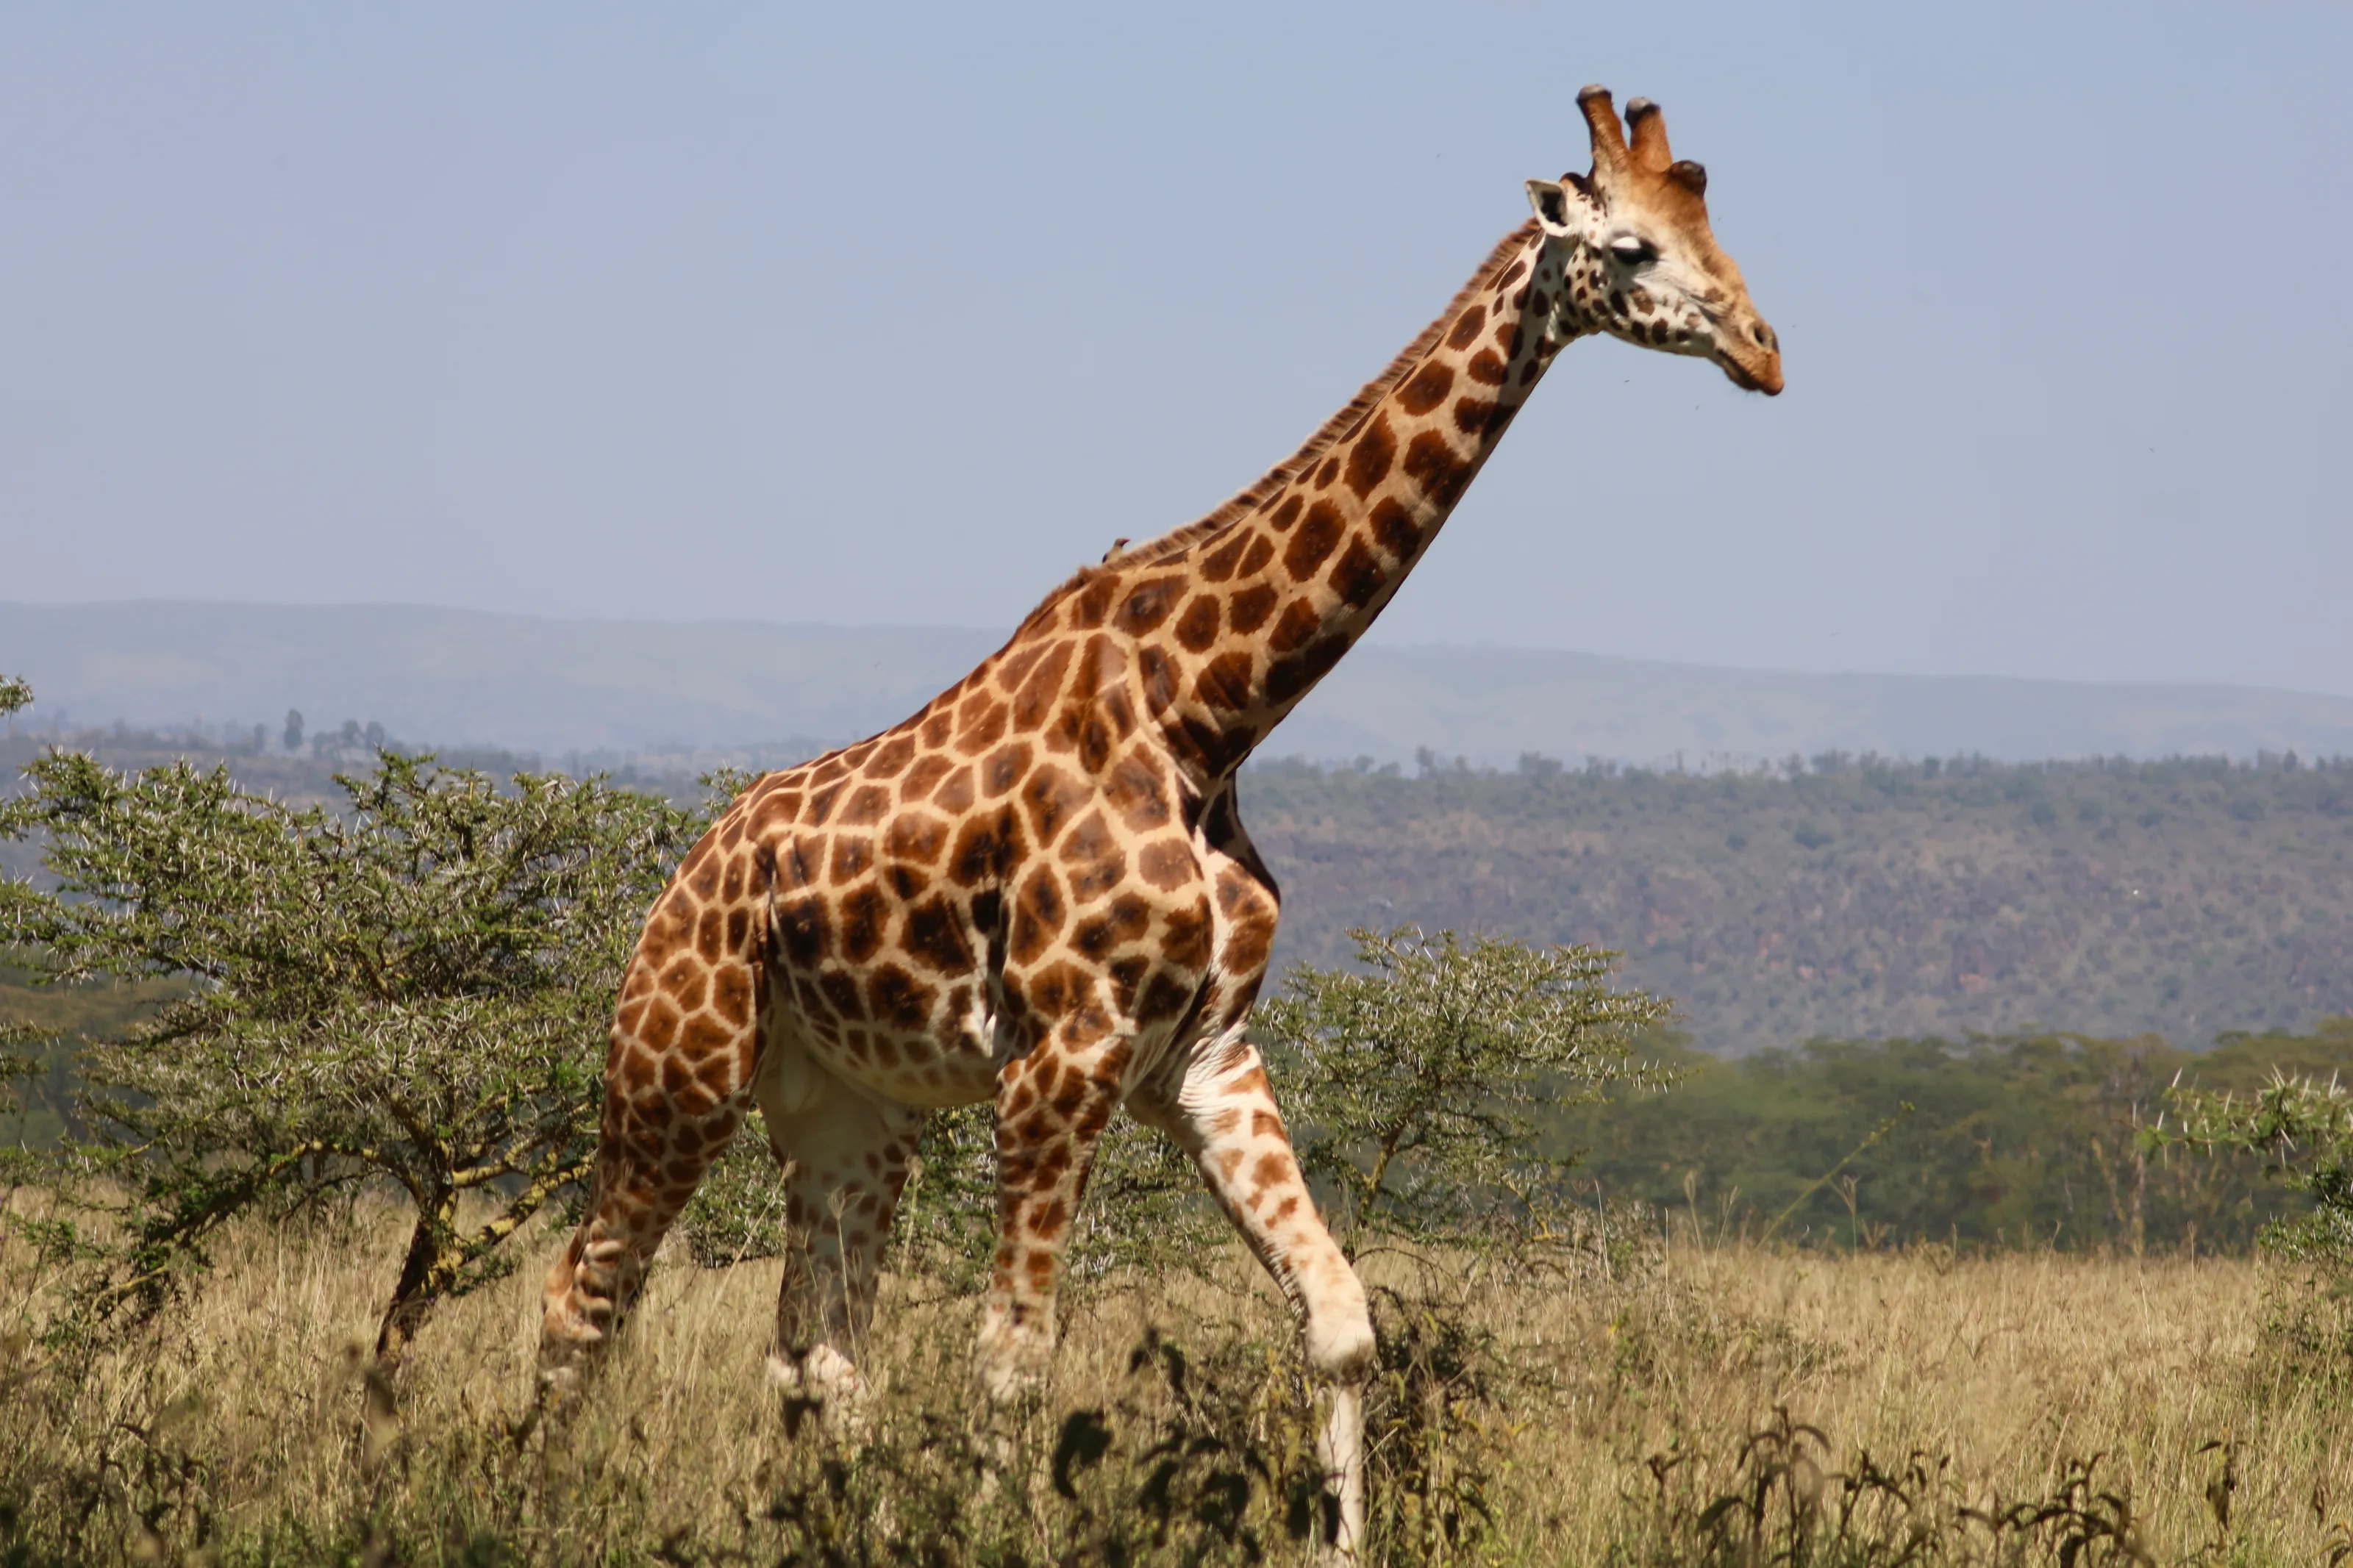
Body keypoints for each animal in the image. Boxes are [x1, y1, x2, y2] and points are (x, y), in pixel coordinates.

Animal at [539, 85, 1781, 1552]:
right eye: (1635, 246)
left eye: (1717, 227)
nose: (1766, 352)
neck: (1208, 714)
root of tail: (683, 877)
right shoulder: (1062, 1052)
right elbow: (1015, 1352)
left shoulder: (1202, 1055)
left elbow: (1340, 1321)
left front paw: (1342, 1542)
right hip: (678, 1063)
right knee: (584, 1294)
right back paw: (512, 1503)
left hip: (850, 1105)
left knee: (816, 1351)